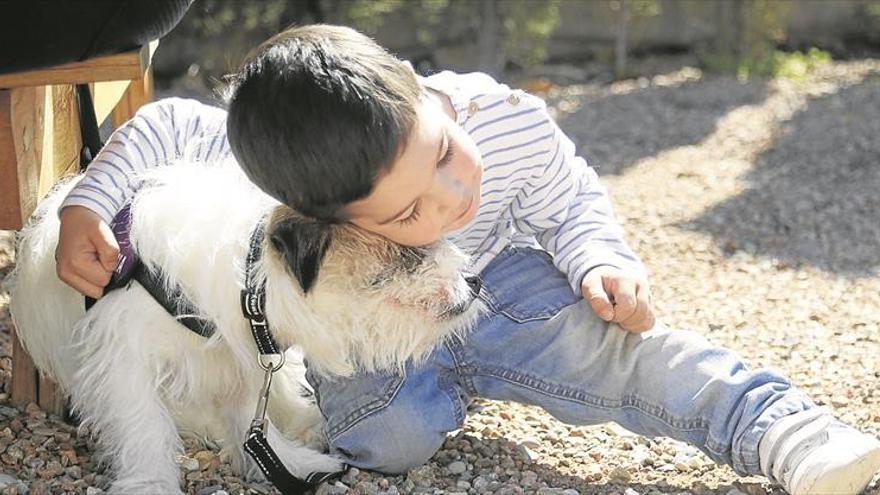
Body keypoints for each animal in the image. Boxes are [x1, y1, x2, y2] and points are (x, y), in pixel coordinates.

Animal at [10, 163, 482, 492]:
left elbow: (252, 419)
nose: (476, 281)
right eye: (410, 252)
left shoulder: (244, 361)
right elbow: (144, 428)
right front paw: (151, 483)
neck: (252, 280)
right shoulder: (125, 364)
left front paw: (287, 464)